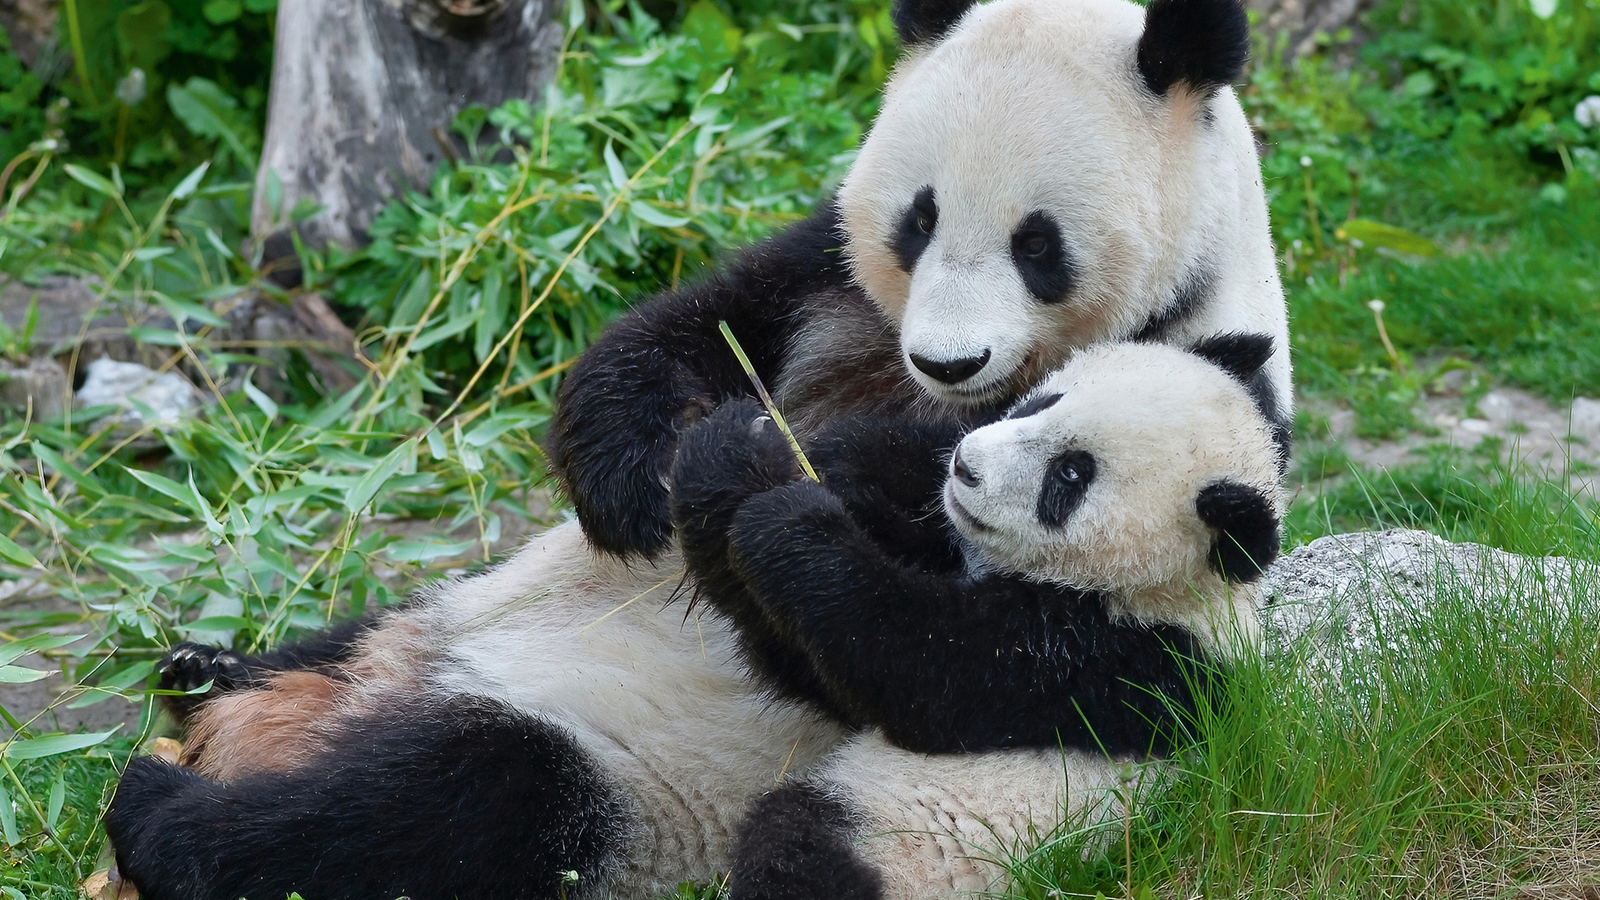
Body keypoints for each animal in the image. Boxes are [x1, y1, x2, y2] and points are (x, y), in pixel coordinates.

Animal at [668, 334, 1280, 896]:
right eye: (1042, 401)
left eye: (1069, 476)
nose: (965, 468)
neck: (1169, 588)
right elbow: (807, 661)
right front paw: (737, 449)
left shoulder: (1121, 663)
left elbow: (915, 664)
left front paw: (789, 521)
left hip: (904, 843)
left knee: (798, 849)